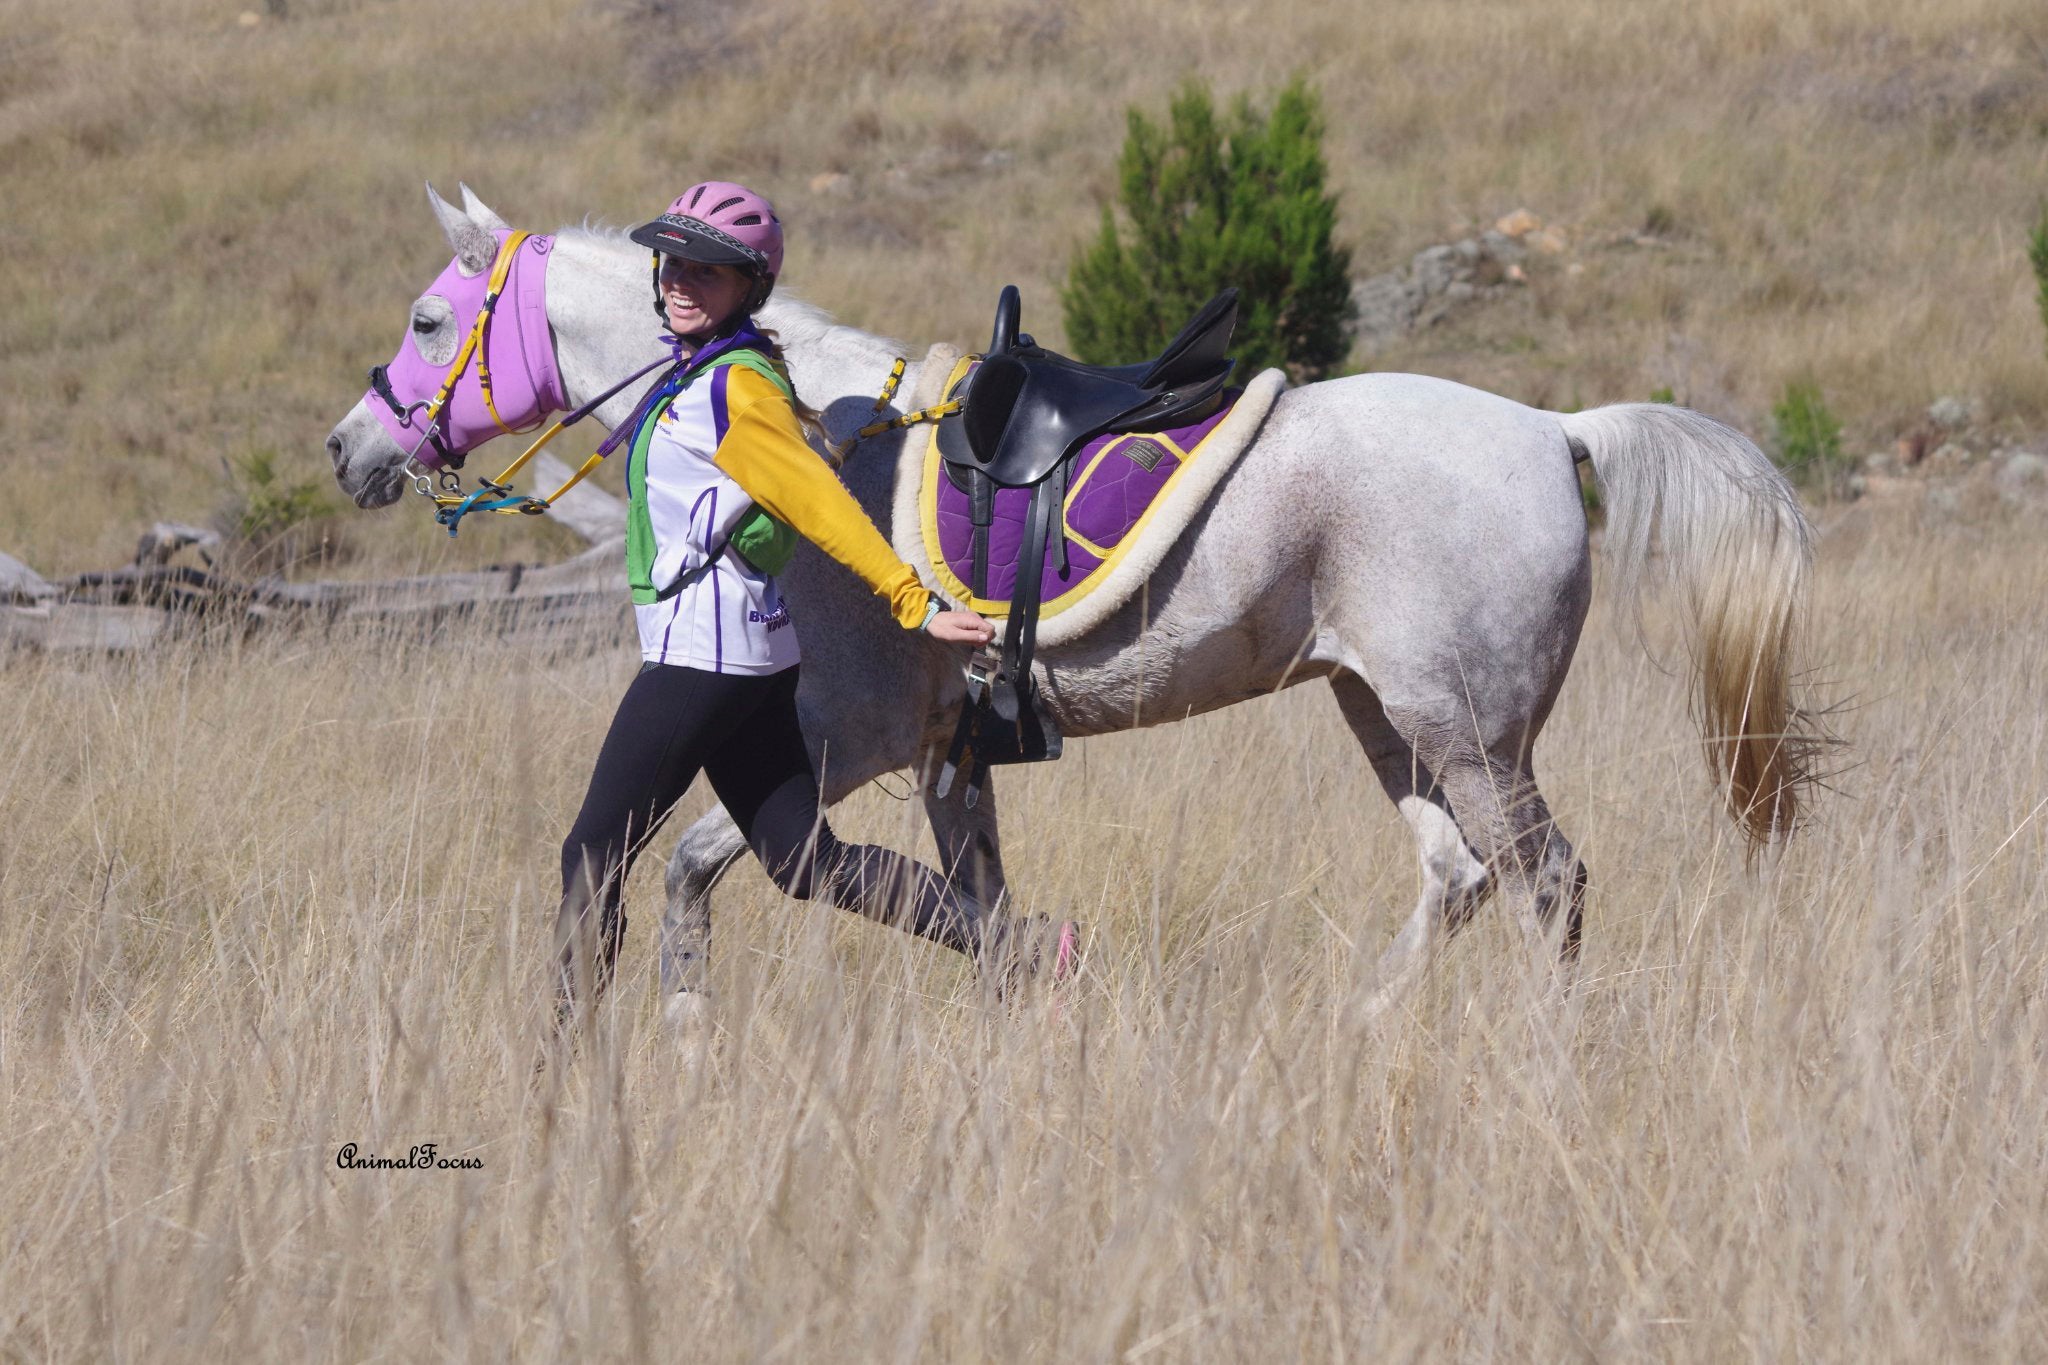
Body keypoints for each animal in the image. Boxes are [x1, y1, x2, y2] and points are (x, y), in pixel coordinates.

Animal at [319, 187, 1810, 1010]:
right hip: (1387, 718)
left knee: (1548, 883)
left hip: (1470, 732)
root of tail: (1555, 428)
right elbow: (977, 917)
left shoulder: (842, 747)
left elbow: (693, 871)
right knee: (1459, 879)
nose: (349, 449)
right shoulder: (945, 759)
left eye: (428, 322)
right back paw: (1356, 1029)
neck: (815, 449)